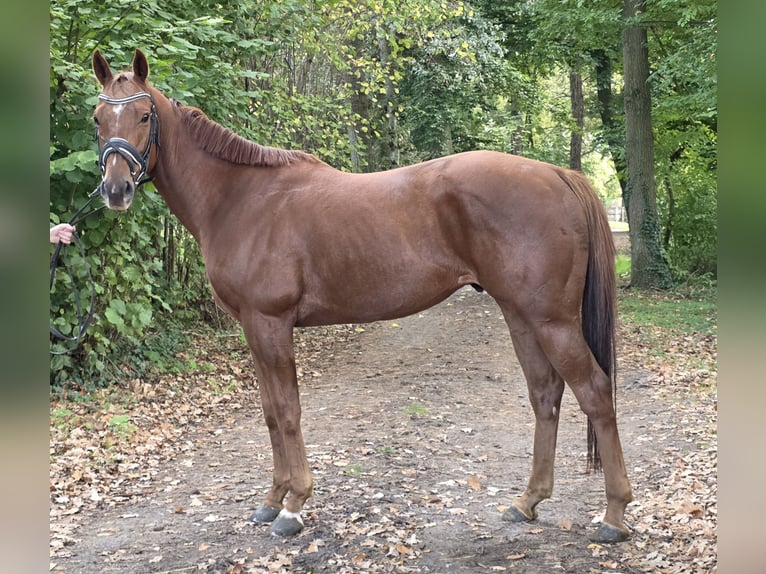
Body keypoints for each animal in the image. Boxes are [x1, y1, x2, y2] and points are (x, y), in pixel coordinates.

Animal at [90, 49, 632, 543]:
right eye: (98, 118)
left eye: (144, 116)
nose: (116, 190)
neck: (240, 199)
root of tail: (558, 175)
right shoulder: (252, 328)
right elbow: (269, 413)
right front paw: (271, 500)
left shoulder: (271, 323)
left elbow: (288, 412)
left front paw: (293, 507)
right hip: (521, 315)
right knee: (546, 393)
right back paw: (527, 502)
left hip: (553, 321)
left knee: (595, 393)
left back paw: (613, 516)